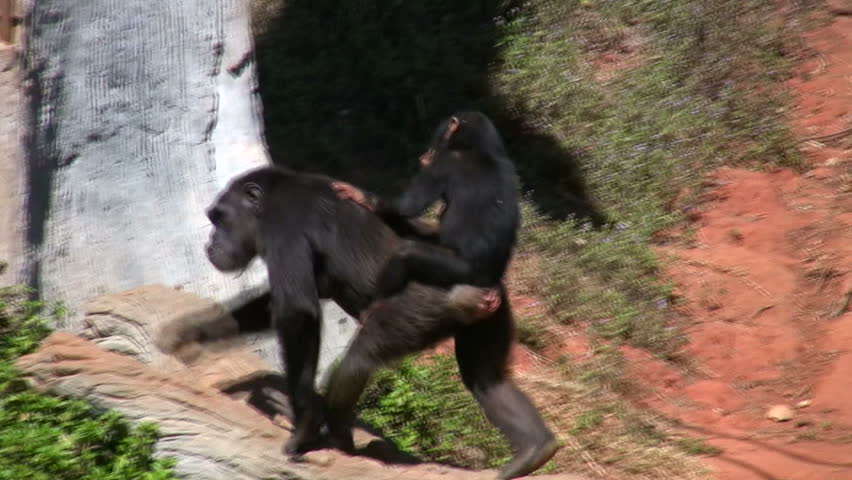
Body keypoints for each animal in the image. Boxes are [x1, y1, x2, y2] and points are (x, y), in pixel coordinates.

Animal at [157, 165, 559, 479]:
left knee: (359, 360)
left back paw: (336, 437)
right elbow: (279, 302)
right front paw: (191, 332)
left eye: (220, 218)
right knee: (486, 379)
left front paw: (303, 430)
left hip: (417, 307)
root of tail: (479, 290)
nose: (211, 240)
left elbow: (297, 310)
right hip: (493, 313)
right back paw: (534, 449)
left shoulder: (282, 226)